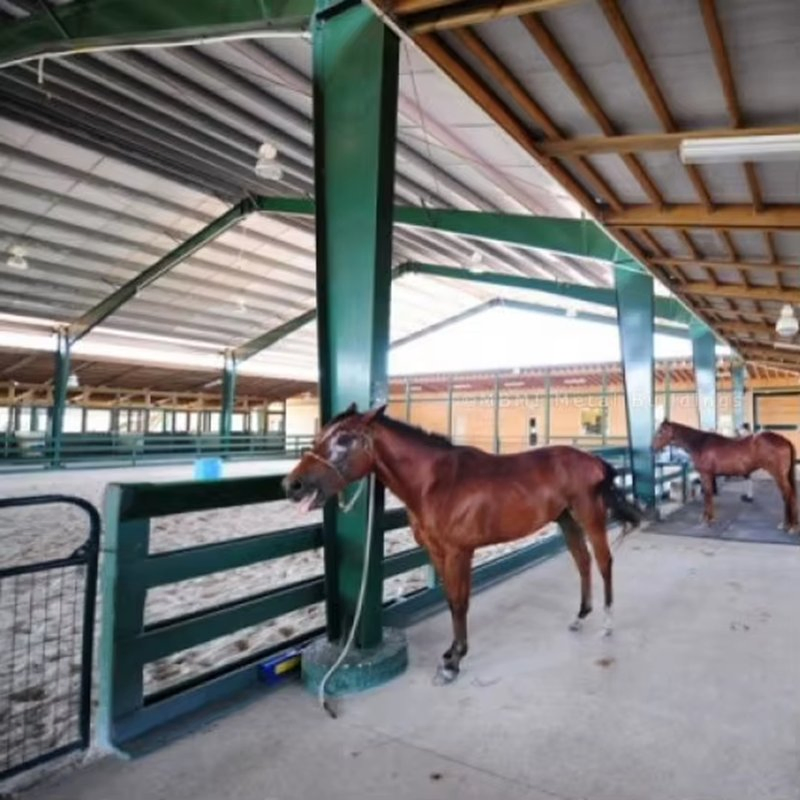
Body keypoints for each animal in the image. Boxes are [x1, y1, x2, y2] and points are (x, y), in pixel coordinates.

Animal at [282, 403, 641, 684]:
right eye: (320, 435)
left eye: (344, 439)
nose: (292, 485)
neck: (435, 482)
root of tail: (595, 462)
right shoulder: (437, 552)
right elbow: (451, 600)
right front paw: (450, 654)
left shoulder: (459, 552)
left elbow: (459, 603)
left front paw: (454, 663)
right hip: (567, 521)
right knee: (582, 562)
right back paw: (580, 617)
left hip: (590, 519)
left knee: (604, 562)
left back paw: (607, 624)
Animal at [652, 419, 798, 531]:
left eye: (660, 431)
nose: (652, 447)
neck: (700, 443)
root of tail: (785, 440)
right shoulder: (709, 475)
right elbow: (709, 494)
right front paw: (708, 517)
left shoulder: (705, 474)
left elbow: (707, 494)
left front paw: (708, 519)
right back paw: (790, 524)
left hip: (779, 475)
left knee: (788, 495)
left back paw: (789, 525)